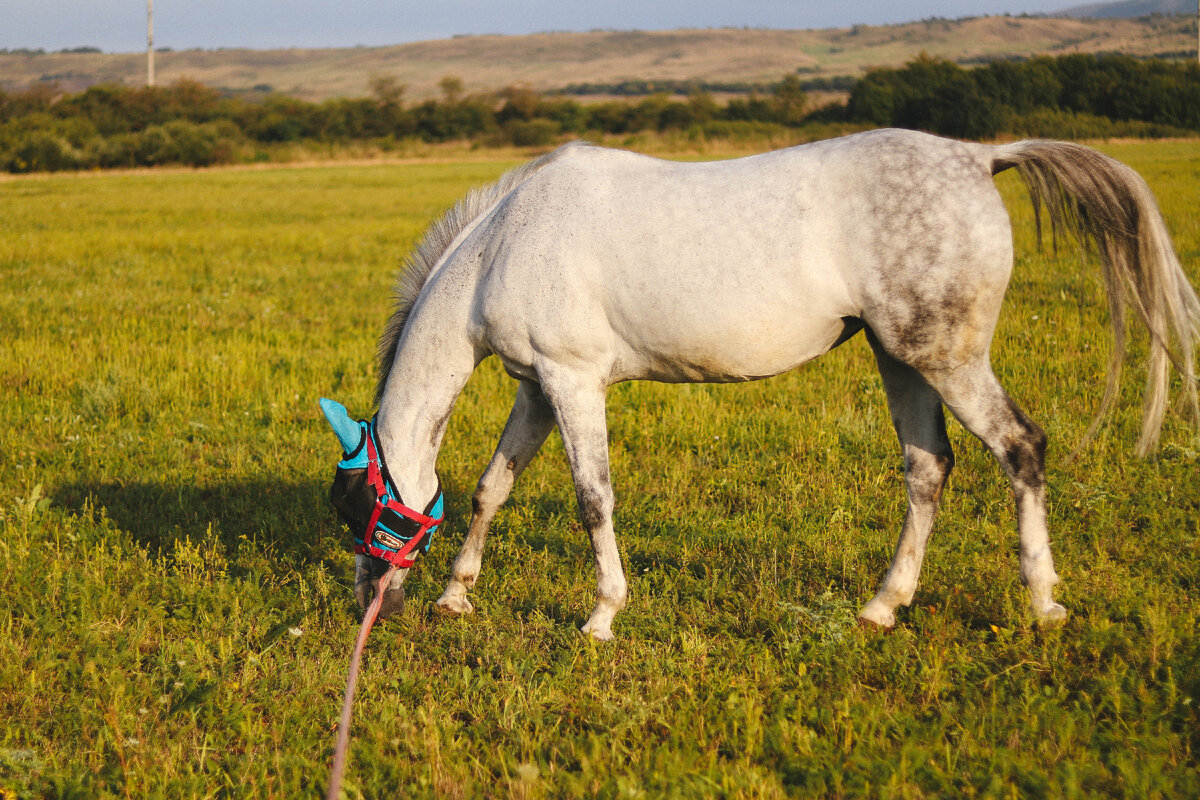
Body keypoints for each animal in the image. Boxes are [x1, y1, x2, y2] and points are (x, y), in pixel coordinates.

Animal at [321, 128, 1200, 642]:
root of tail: (979, 156)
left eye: (358, 507)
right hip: (900, 359)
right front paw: (458, 594)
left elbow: (592, 500)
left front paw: (602, 615)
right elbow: (490, 488)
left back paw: (1043, 601)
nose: (371, 606)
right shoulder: (537, 389)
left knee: (1020, 448)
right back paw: (883, 605)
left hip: (945, 357)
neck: (505, 242)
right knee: (928, 470)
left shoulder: (574, 384)